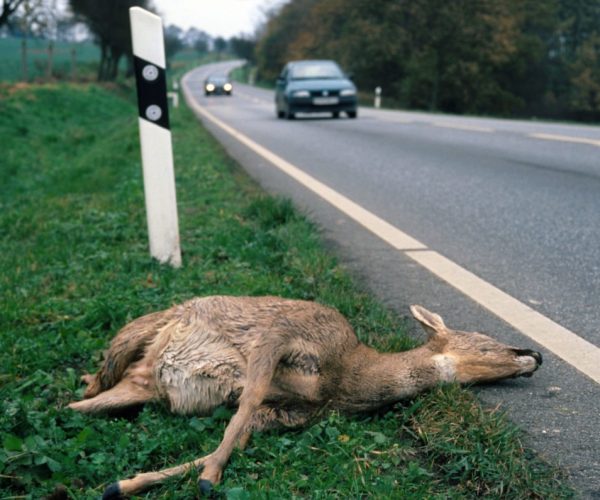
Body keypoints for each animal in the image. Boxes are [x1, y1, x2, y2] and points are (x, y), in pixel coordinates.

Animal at [68, 294, 540, 498]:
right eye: (486, 342)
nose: (532, 356)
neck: (346, 378)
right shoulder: (283, 333)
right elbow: (246, 404)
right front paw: (208, 479)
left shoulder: (291, 413)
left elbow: (239, 431)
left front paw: (126, 483)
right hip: (138, 333)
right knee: (90, 387)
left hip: (139, 385)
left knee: (81, 406)